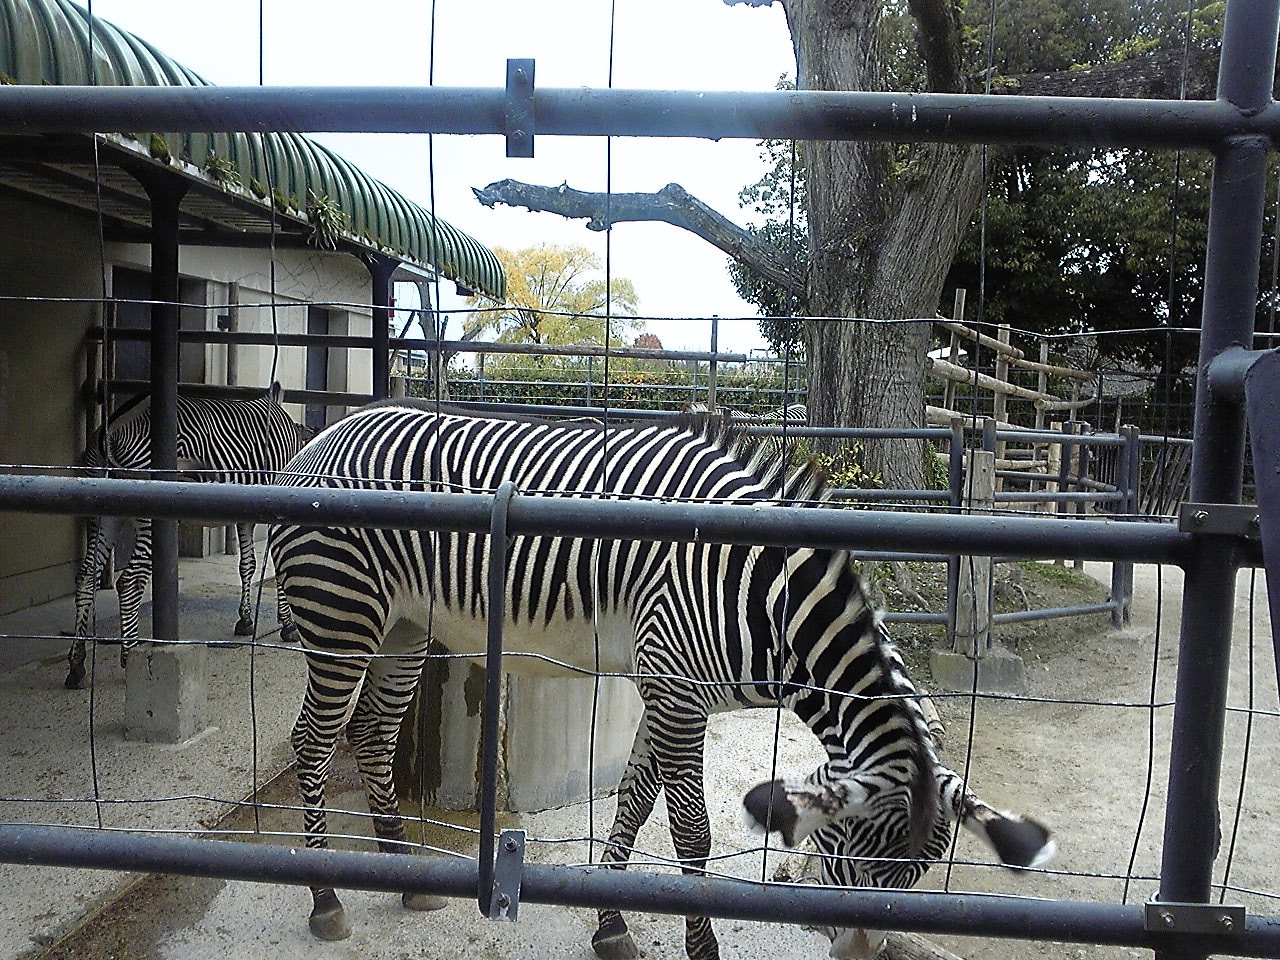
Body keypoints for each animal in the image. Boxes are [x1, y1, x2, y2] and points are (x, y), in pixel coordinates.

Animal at [68, 384, 308, 691]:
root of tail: (109, 431)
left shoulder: (246, 513)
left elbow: (248, 566)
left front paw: (245, 620)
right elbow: (276, 571)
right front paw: (288, 625)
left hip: (103, 512)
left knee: (86, 575)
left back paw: (77, 663)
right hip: (148, 509)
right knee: (130, 581)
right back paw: (128, 655)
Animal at [267, 399, 1049, 960]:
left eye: (917, 877)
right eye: (856, 852)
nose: (855, 957)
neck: (761, 595)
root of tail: (319, 439)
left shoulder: (667, 689)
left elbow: (636, 801)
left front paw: (610, 926)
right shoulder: (676, 693)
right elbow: (689, 831)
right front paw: (700, 950)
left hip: (403, 630)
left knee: (371, 735)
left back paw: (401, 868)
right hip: (342, 621)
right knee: (313, 743)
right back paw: (326, 897)